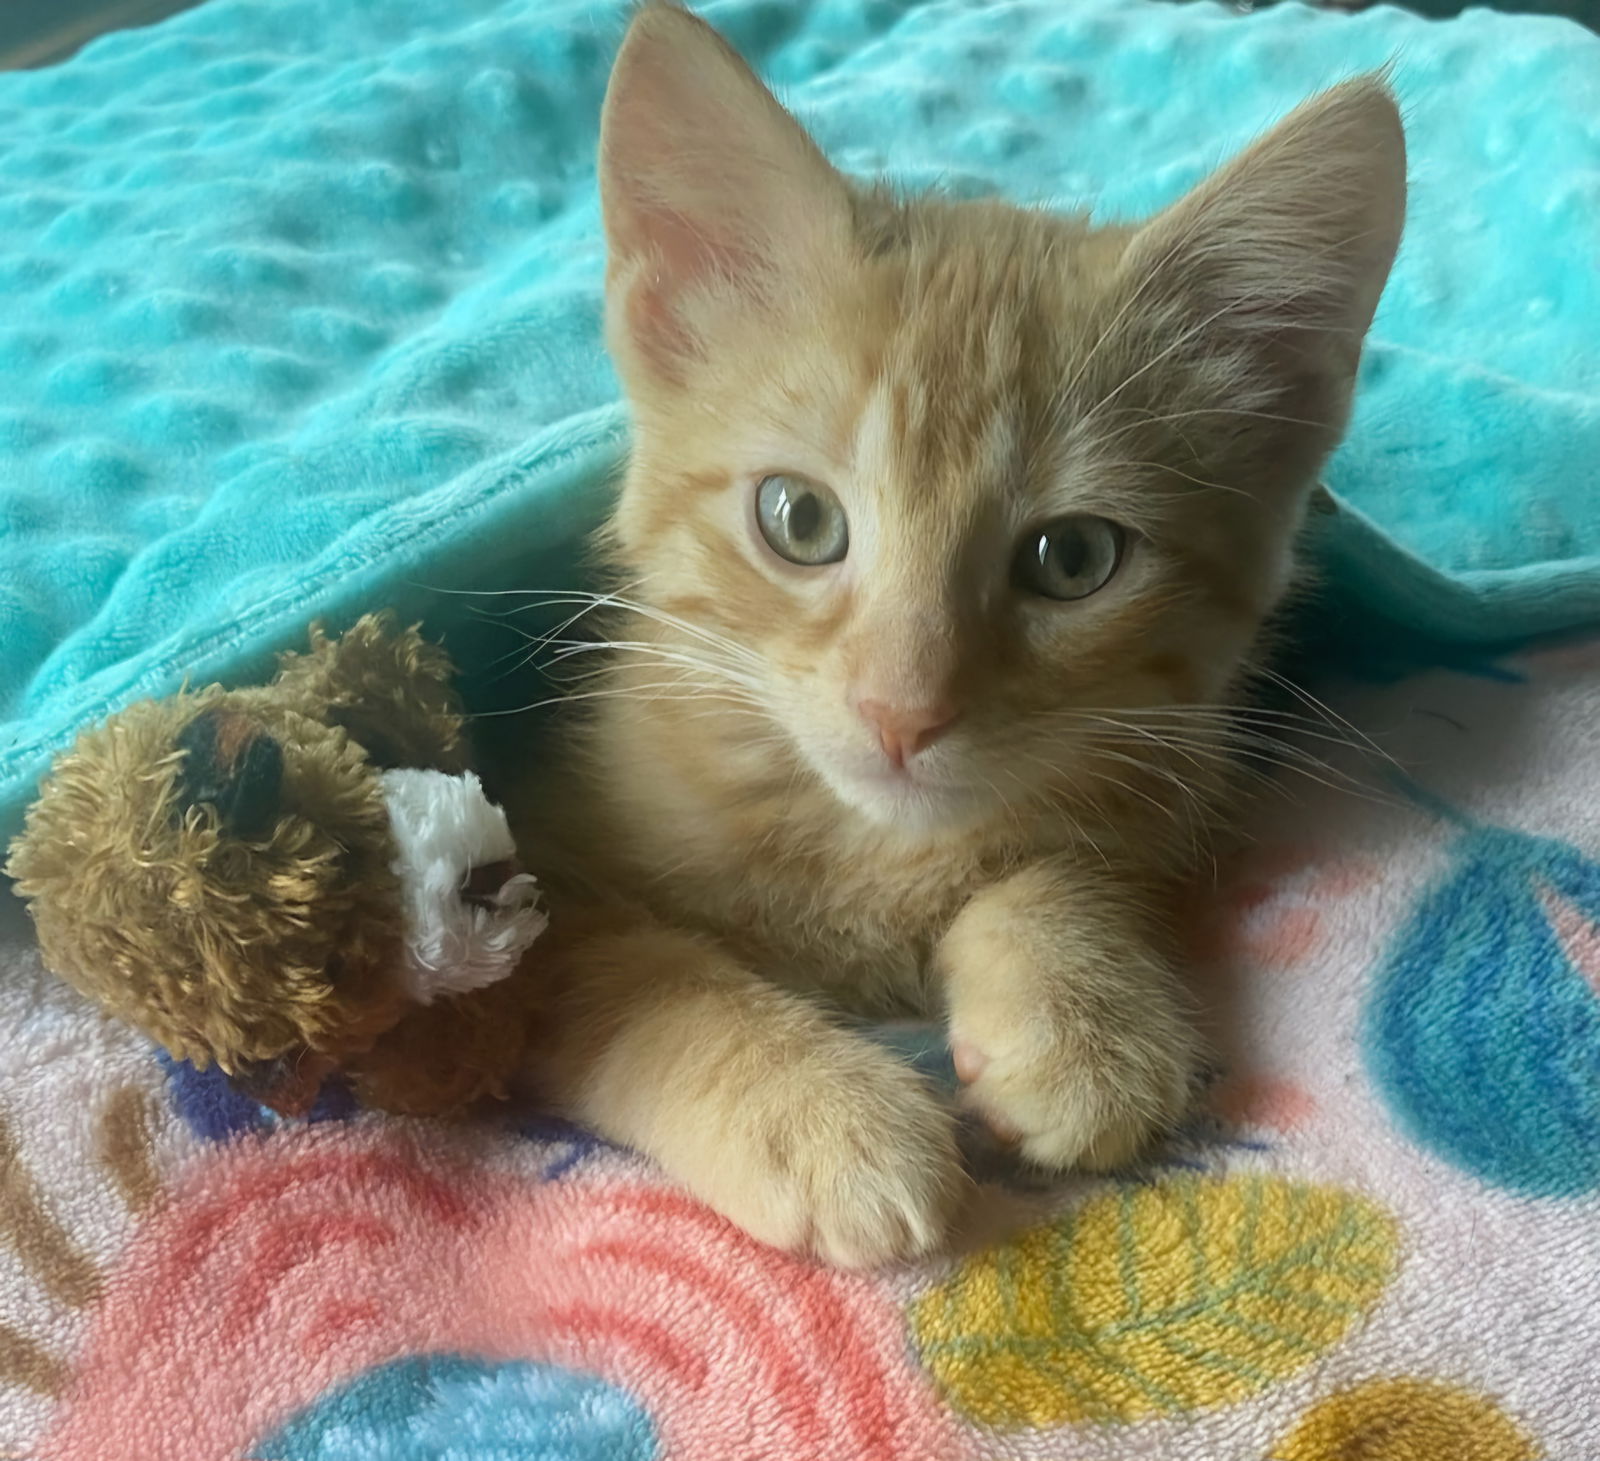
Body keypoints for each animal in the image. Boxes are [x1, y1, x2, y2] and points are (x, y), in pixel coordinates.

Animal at [518, 2, 1408, 1267]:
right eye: (799, 520)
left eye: (1073, 560)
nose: (901, 713)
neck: (871, 857)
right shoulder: (518, 885)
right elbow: (631, 971)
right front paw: (814, 1110)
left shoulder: (1170, 767)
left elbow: (1076, 854)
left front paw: (1077, 1012)